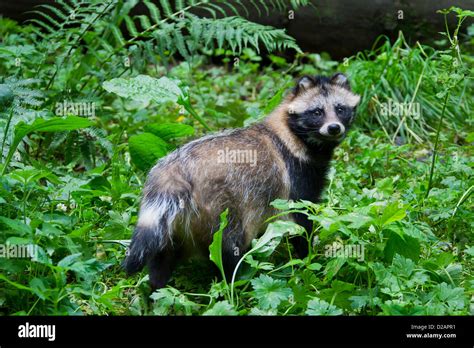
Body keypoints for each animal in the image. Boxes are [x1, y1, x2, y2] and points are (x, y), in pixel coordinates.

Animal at [122, 72, 360, 288]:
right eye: (317, 112)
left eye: (340, 108)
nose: (334, 127)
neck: (292, 133)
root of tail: (175, 171)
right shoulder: (296, 177)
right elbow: (300, 220)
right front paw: (307, 257)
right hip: (221, 210)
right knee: (228, 250)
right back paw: (232, 283)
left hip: (175, 223)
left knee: (163, 257)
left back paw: (156, 288)